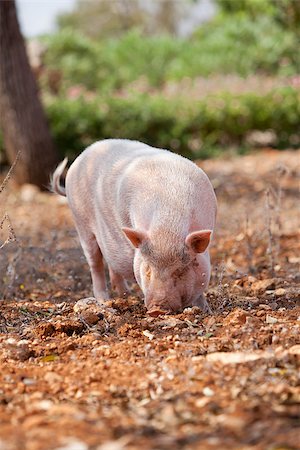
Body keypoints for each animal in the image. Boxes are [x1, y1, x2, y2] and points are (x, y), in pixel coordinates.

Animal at [51, 139, 216, 314]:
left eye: (180, 271)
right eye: (148, 269)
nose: (157, 309)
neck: (168, 226)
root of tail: (80, 158)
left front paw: (206, 310)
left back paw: (126, 295)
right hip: (82, 226)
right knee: (95, 264)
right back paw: (105, 301)